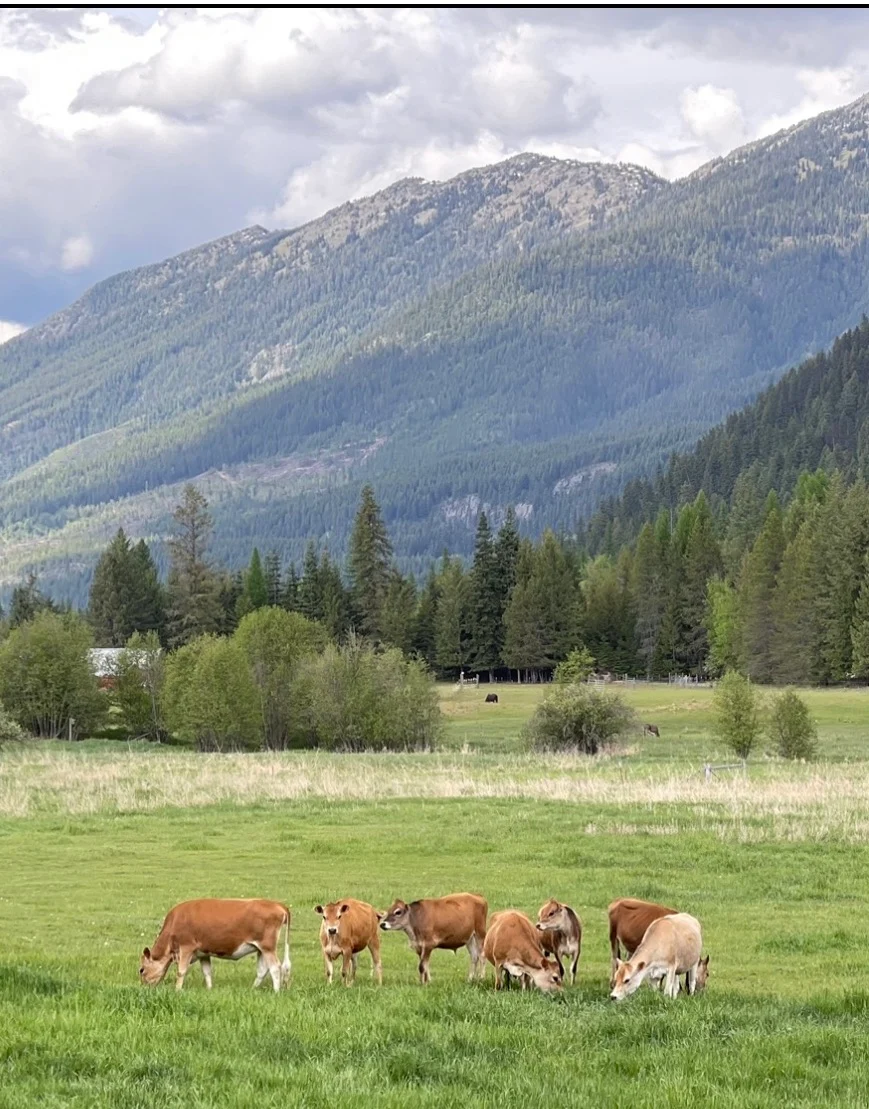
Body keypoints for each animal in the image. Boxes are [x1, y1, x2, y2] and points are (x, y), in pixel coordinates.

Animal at [139, 898, 291, 992]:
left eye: (141, 970)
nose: (143, 988)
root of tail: (278, 904)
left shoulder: (186, 947)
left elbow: (181, 971)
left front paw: (177, 990)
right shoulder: (203, 953)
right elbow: (207, 972)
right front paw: (209, 989)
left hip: (268, 947)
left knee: (275, 967)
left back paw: (276, 991)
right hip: (261, 949)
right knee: (262, 970)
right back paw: (252, 989)